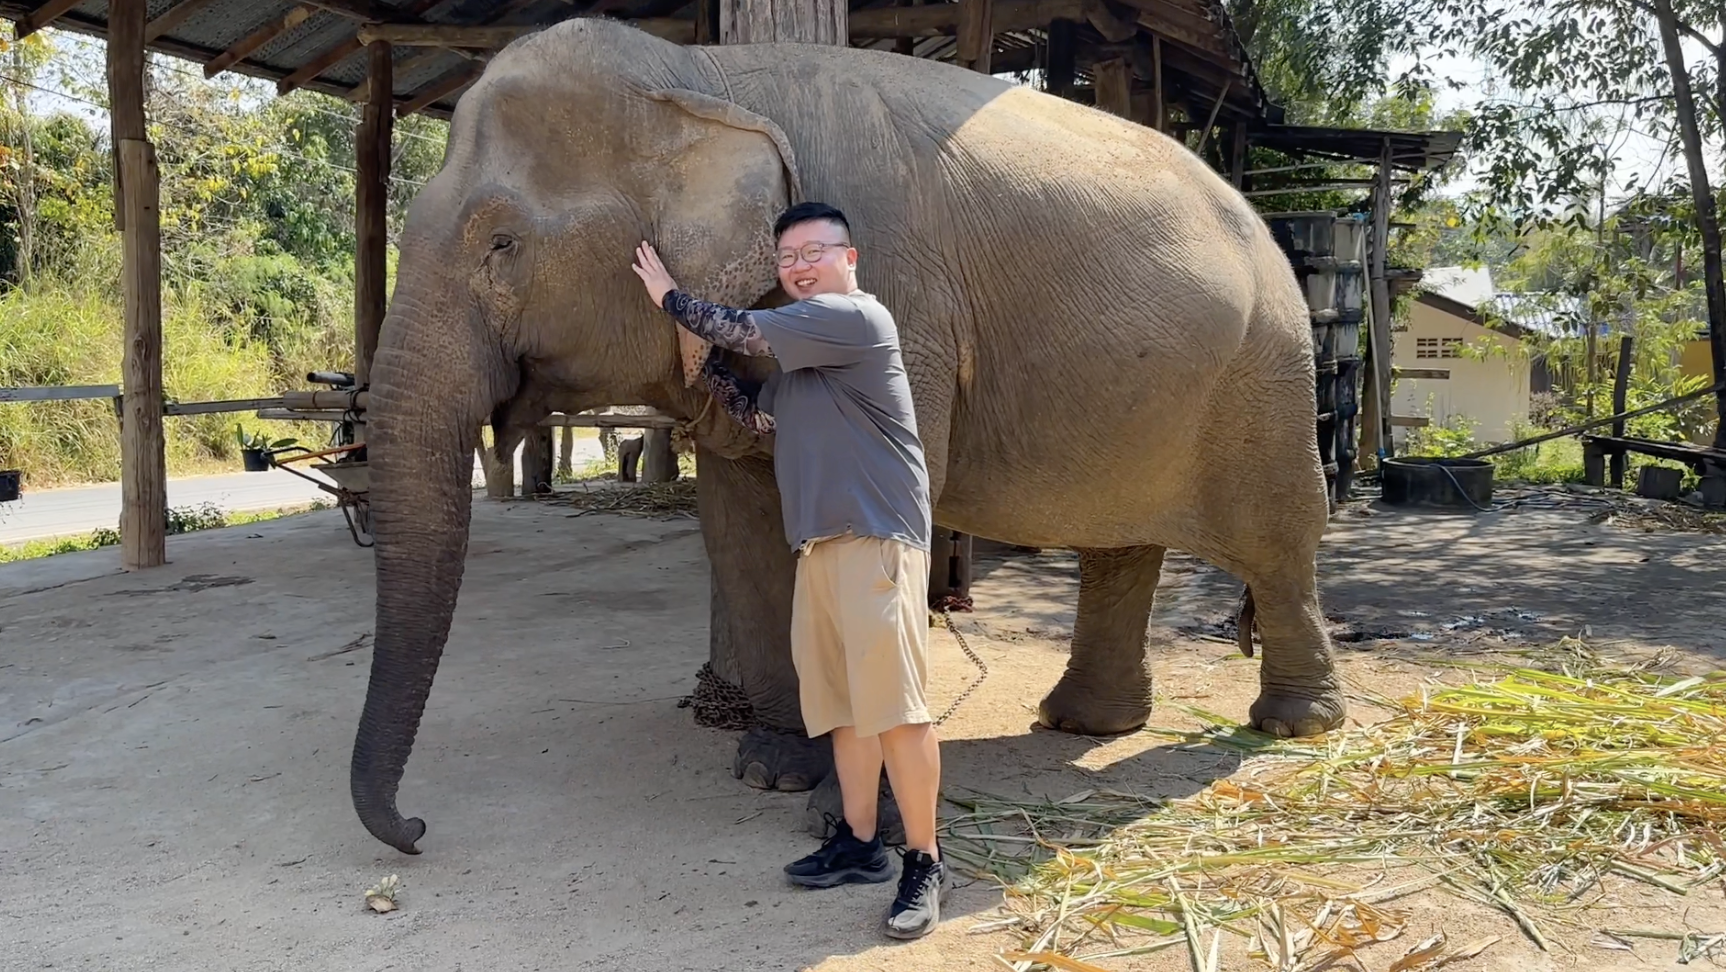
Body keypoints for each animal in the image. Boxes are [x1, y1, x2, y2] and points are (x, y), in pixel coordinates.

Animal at [357, 11, 1339, 856]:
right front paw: (773, 771)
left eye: (501, 244)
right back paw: (1083, 722)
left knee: (1281, 538)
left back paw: (1294, 724)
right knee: (1122, 542)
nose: (415, 830)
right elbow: (741, 525)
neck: (703, 79)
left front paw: (851, 799)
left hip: (1269, 371)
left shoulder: (906, 301)